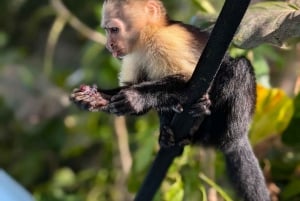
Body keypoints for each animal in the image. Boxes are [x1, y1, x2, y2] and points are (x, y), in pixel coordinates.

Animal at [69, 0, 270, 201]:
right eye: (107, 30)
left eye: (114, 30)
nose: (108, 45)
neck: (147, 37)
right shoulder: (134, 54)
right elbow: (134, 91)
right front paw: (95, 98)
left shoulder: (166, 40)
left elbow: (187, 83)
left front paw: (136, 98)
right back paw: (168, 130)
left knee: (239, 67)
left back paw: (222, 129)